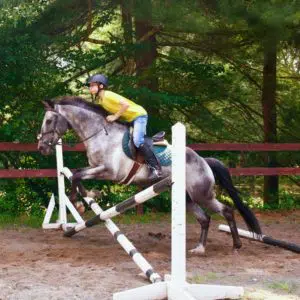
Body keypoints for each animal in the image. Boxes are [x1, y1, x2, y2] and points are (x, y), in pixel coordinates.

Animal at [37, 95, 262, 253]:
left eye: (48, 120)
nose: (41, 147)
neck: (101, 134)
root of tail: (204, 161)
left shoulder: (109, 171)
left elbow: (76, 176)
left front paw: (80, 202)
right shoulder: (96, 168)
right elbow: (77, 174)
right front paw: (88, 197)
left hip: (202, 194)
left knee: (227, 211)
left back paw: (237, 245)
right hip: (187, 197)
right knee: (205, 219)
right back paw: (200, 248)